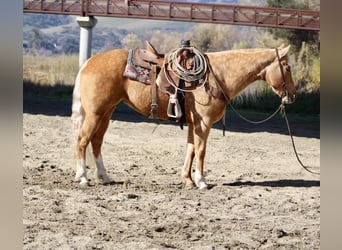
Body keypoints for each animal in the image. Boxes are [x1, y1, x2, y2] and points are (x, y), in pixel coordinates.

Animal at [71, 45, 296, 189]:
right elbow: (201, 151)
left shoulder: (192, 124)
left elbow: (190, 149)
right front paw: (201, 181)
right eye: (287, 67)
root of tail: (89, 62)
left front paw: (187, 180)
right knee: (82, 140)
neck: (218, 75)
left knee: (96, 141)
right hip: (95, 114)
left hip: (106, 113)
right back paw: (83, 178)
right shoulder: (203, 123)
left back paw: (103, 176)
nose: (292, 96)